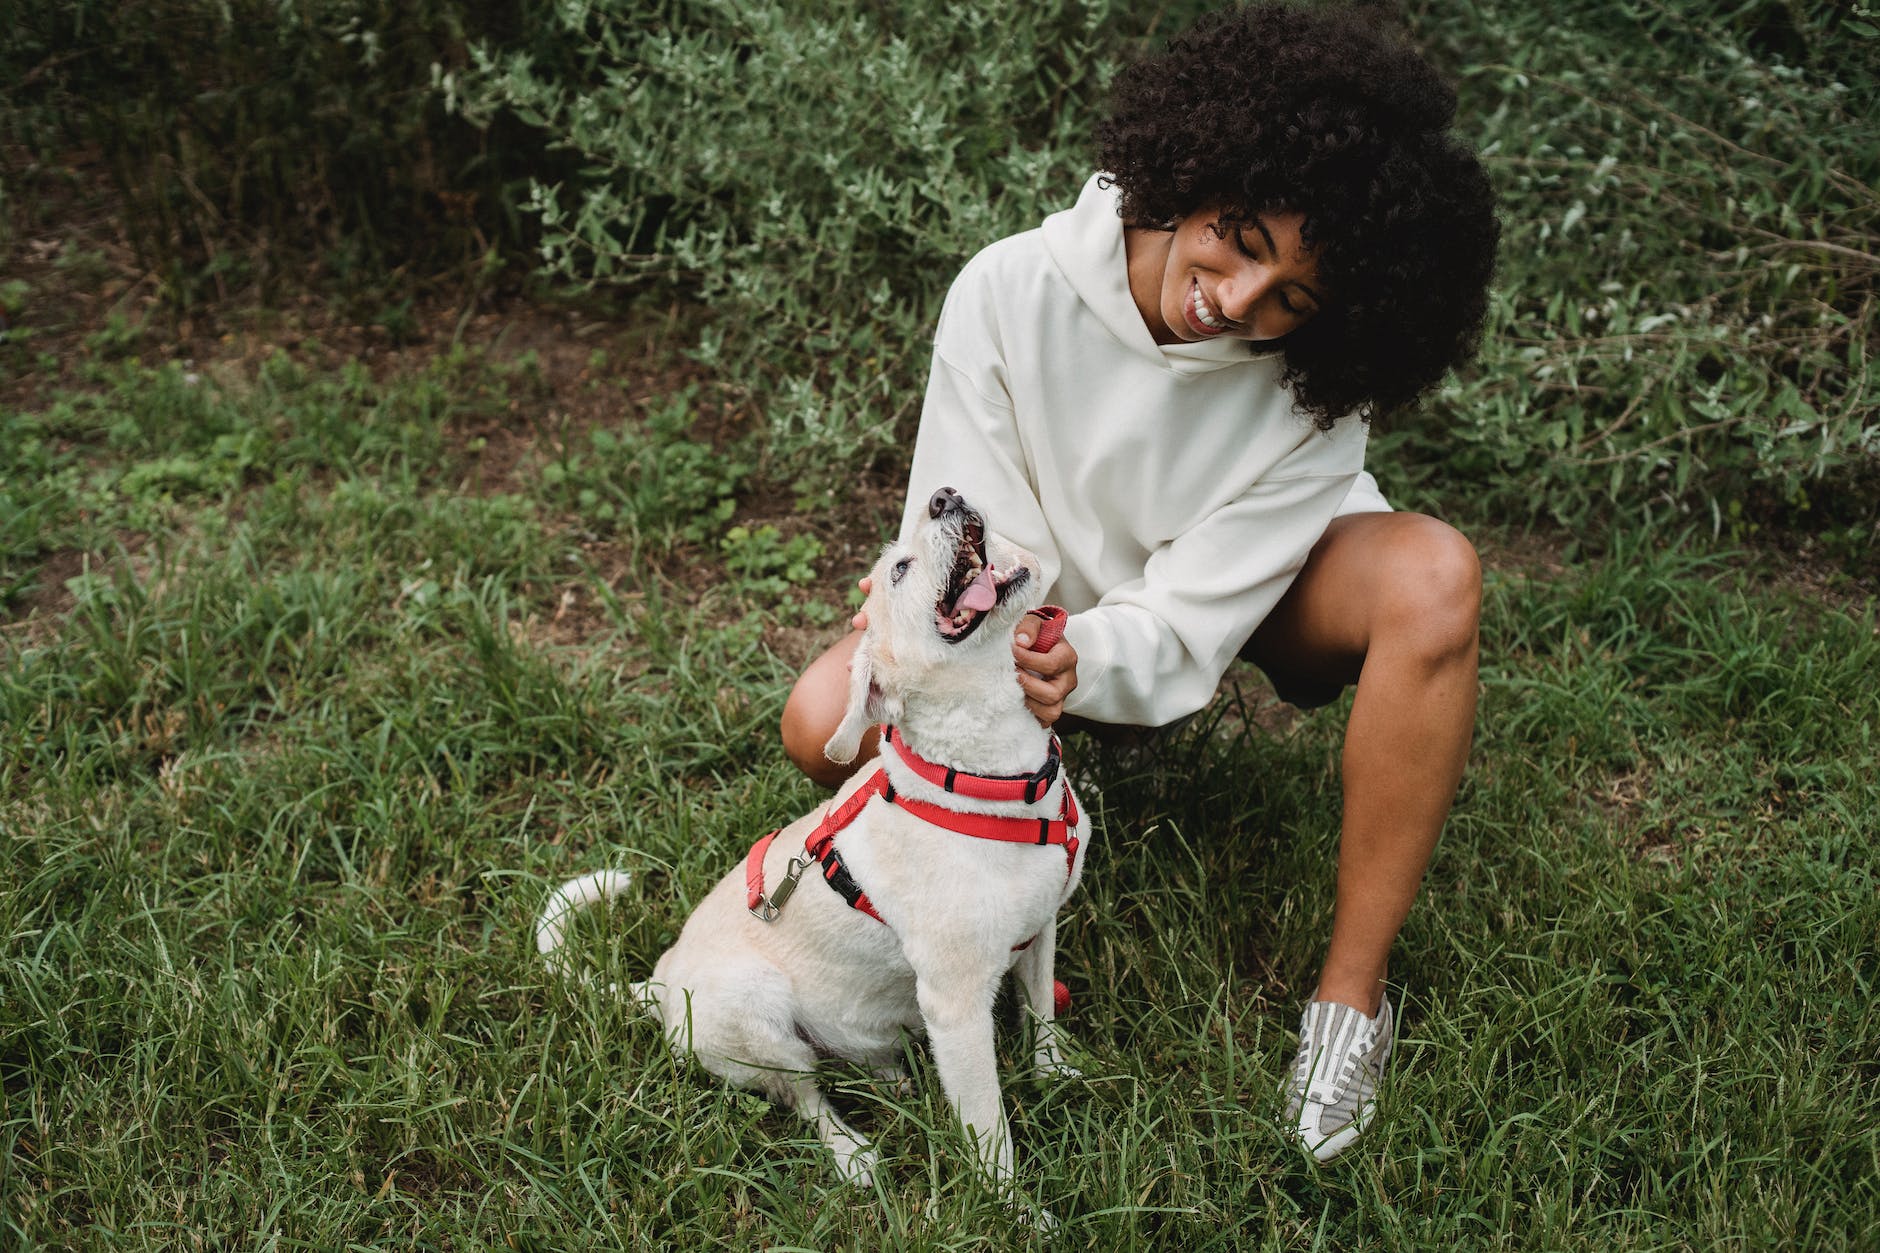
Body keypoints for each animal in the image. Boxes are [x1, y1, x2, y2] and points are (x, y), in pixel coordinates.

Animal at [533, 481, 1090, 1196]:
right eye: (899, 570)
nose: (944, 494)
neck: (992, 779)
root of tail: (656, 986)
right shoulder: (957, 1008)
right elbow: (991, 1135)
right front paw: (1015, 1209)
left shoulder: (1041, 929)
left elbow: (1043, 1016)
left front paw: (1058, 1075)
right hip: (760, 1014)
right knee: (805, 1098)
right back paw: (853, 1155)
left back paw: (892, 1076)